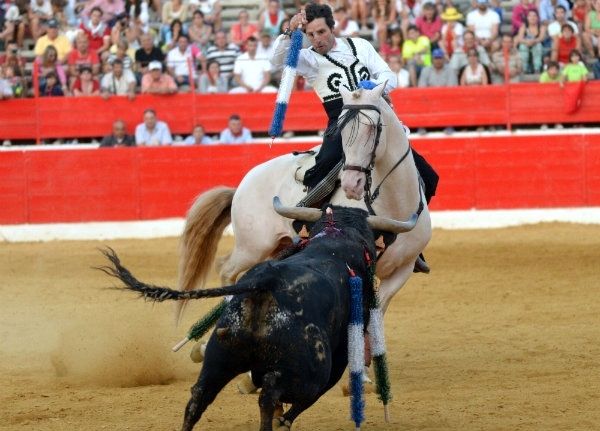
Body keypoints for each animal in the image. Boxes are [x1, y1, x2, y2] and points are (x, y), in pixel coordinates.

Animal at [101, 206, 378, 431]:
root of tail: (266, 281)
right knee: (274, 393)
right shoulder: (339, 355)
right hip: (308, 371)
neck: (335, 241)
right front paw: (283, 421)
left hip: (220, 355)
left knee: (199, 396)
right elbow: (312, 396)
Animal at [177, 84, 432, 320]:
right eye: (340, 131)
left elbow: (377, 313)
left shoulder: (402, 270)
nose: (352, 183)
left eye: (372, 127)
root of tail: (242, 185)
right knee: (226, 270)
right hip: (252, 246)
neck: (395, 203)